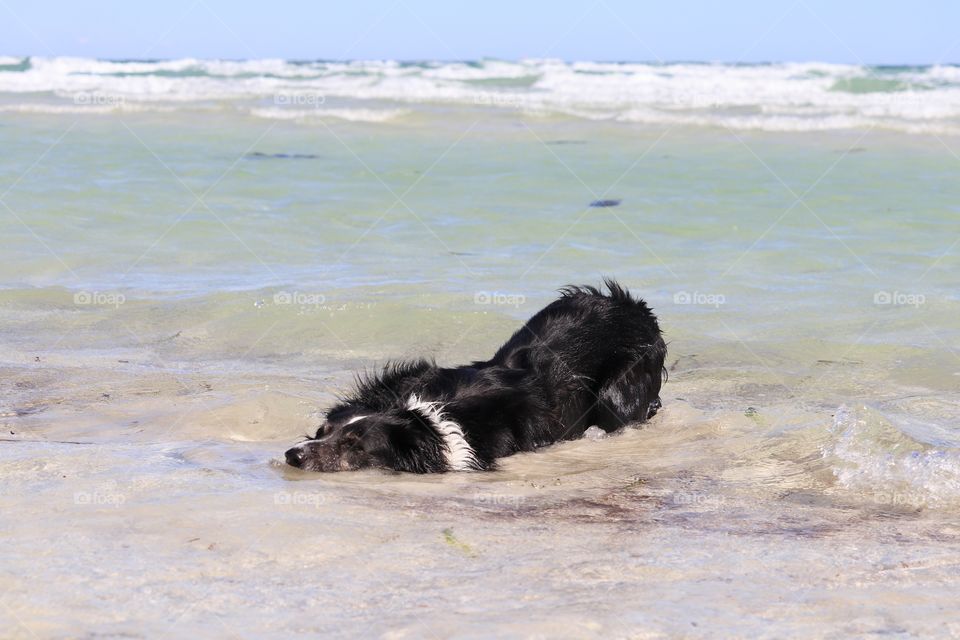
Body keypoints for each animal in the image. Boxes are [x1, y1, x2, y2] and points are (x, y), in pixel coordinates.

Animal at [282, 280, 664, 476]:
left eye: (354, 445)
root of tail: (632, 306)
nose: (292, 455)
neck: (422, 420)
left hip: (618, 394)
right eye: (322, 431)